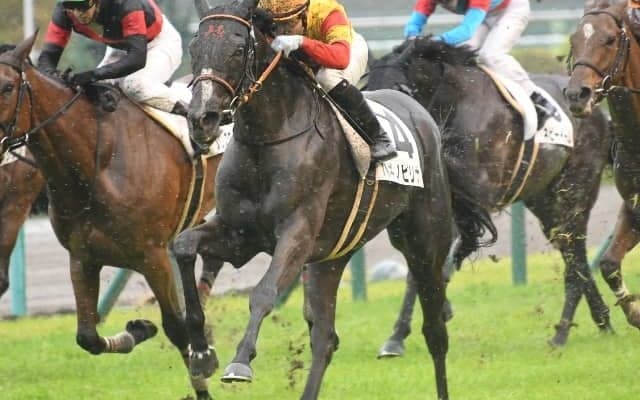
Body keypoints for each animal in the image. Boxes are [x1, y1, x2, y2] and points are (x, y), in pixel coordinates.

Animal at [0, 35, 224, 400]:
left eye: (7, 87)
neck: (97, 162)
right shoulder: (83, 256)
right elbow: (87, 337)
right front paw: (140, 328)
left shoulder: (152, 256)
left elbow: (175, 327)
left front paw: (201, 373)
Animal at [172, 1, 495, 399]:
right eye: (194, 48)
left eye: (237, 49)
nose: (202, 118)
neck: (269, 138)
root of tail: (420, 112)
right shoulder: (238, 235)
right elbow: (183, 246)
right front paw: (202, 354)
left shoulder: (296, 232)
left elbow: (264, 292)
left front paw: (240, 362)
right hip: (330, 258)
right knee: (325, 339)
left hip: (423, 242)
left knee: (435, 330)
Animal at [366, 37, 614, 351]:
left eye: (397, 91)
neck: (455, 101)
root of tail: (599, 113)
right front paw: (401, 332)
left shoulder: (479, 189)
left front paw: (408, 329)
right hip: (544, 202)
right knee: (573, 252)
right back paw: (602, 321)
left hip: (575, 190)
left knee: (575, 252)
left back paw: (562, 334)